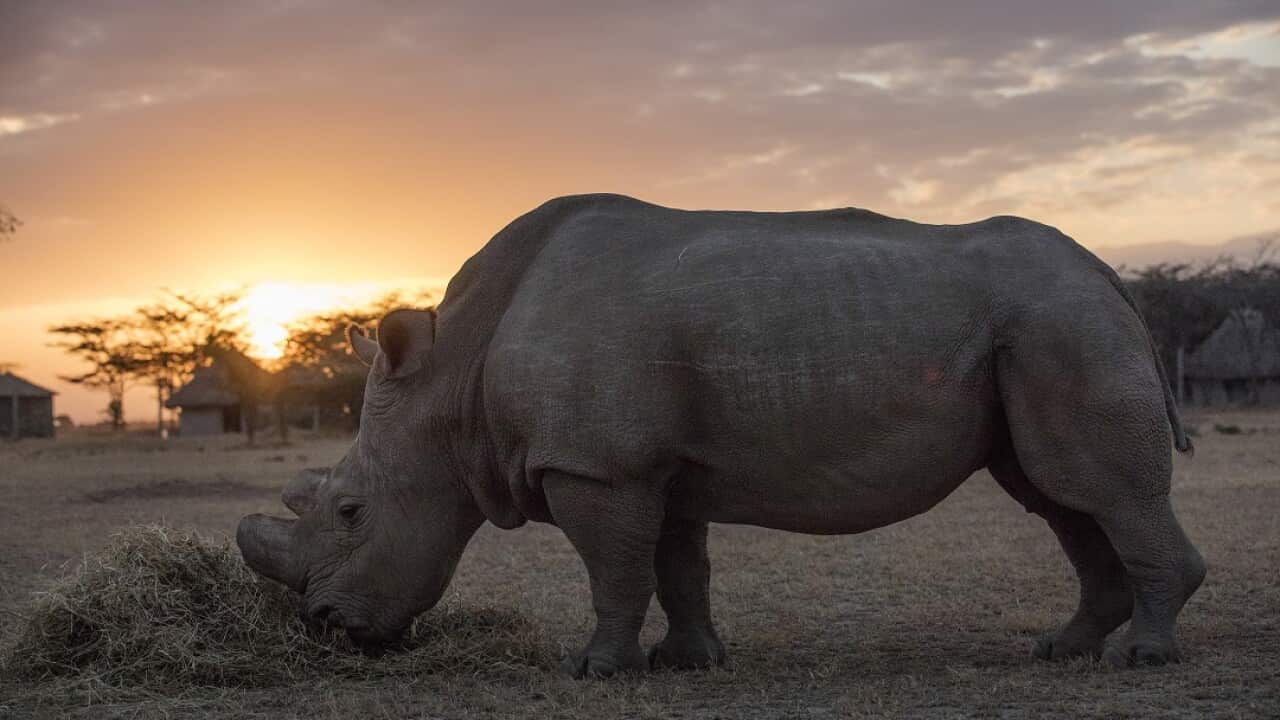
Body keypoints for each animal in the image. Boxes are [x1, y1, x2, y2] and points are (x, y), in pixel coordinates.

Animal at [238, 193, 1205, 677]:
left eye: (351, 511)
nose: (324, 626)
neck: (455, 382)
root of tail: (1108, 274)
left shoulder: (598, 465)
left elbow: (615, 570)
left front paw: (594, 670)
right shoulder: (655, 465)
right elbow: (677, 567)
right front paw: (689, 663)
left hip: (1063, 323)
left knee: (1091, 489)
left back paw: (1145, 659)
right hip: (1049, 327)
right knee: (1058, 497)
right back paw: (1063, 652)